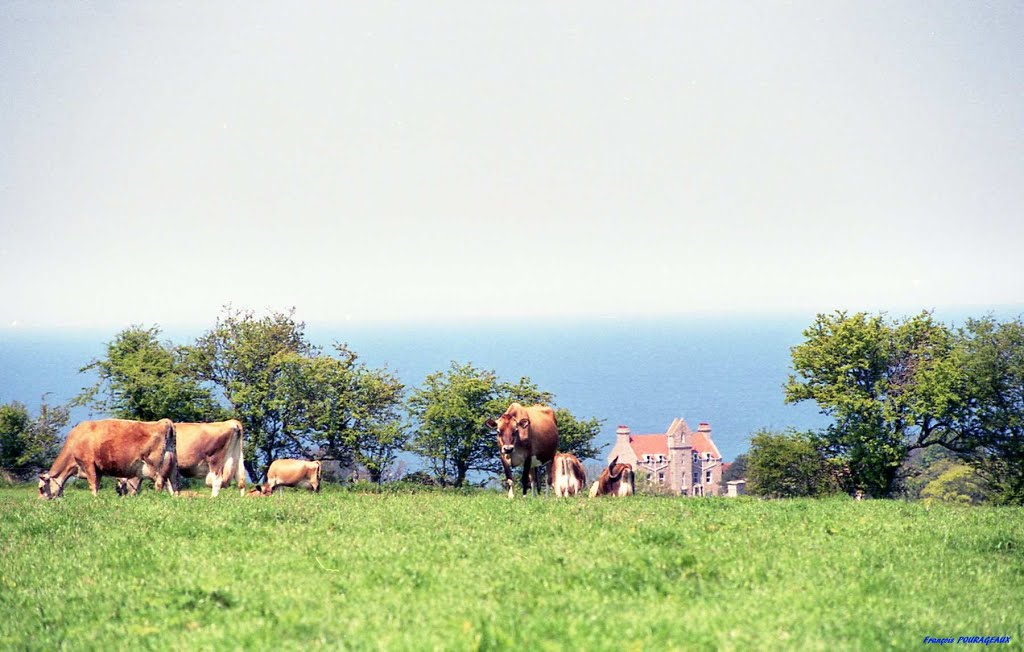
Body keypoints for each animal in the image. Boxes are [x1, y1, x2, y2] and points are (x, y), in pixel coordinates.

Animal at [37, 417, 177, 497]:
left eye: (41, 488)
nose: (41, 503)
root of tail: (164, 422)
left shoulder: (88, 464)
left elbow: (92, 485)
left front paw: (94, 500)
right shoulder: (98, 470)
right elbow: (97, 484)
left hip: (154, 465)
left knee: (159, 483)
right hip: (172, 466)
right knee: (173, 485)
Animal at [114, 419, 247, 495]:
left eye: (120, 483)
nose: (120, 493)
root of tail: (231, 422)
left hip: (215, 460)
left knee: (216, 481)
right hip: (236, 458)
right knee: (240, 481)